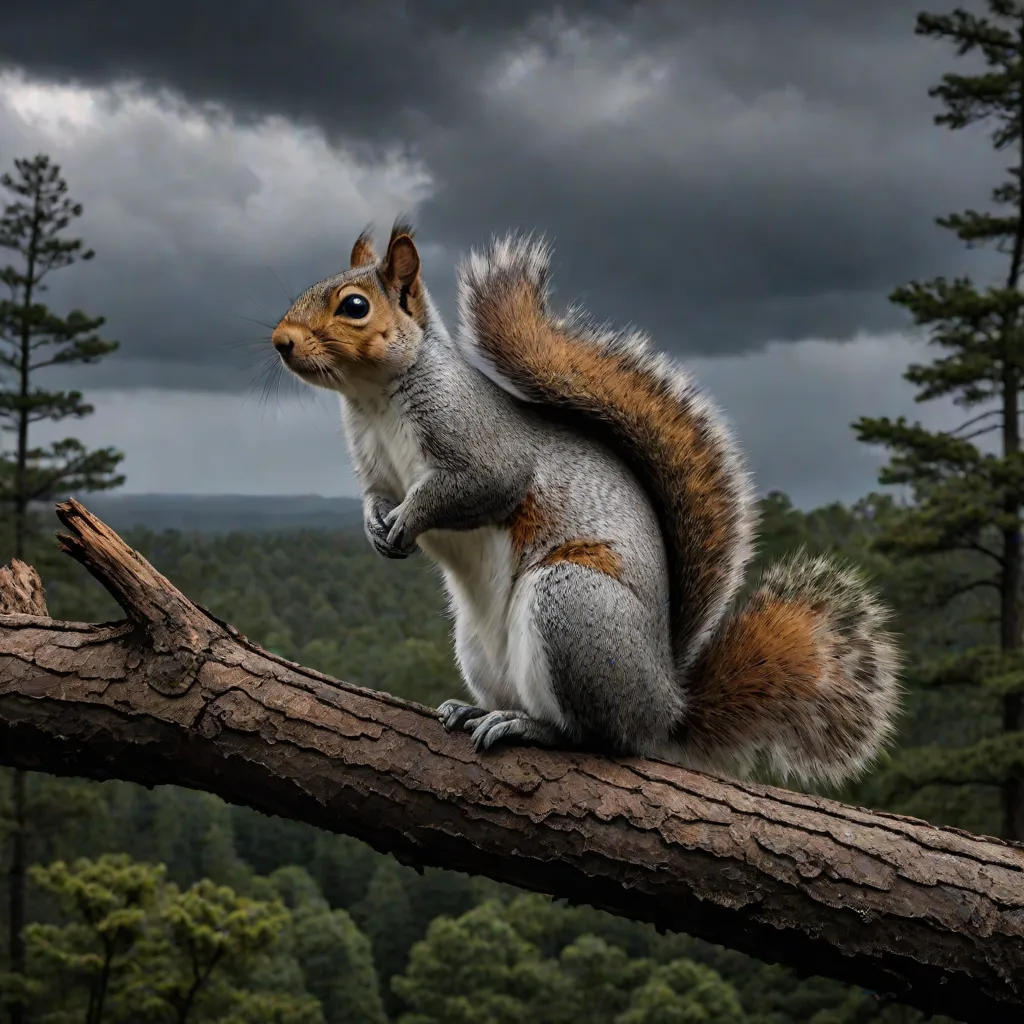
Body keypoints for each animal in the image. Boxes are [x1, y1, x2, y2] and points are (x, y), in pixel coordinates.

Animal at [271, 221, 900, 786]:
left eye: (354, 306)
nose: (281, 341)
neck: (374, 397)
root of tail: (664, 705)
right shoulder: (374, 465)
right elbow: (376, 497)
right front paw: (377, 527)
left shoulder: (477, 445)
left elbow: (476, 486)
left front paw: (408, 522)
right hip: (477, 643)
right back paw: (479, 709)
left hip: (572, 604)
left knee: (596, 735)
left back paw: (530, 728)